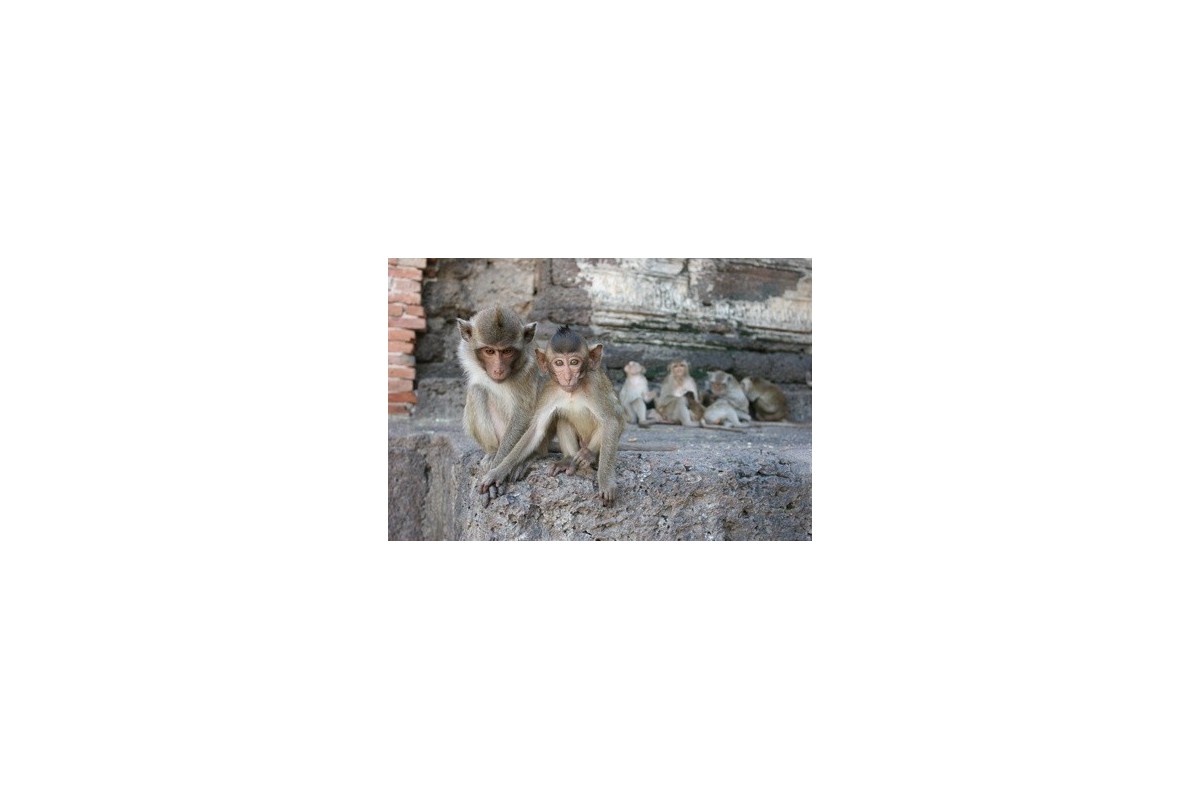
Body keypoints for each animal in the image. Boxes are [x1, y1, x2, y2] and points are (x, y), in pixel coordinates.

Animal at [456, 306, 540, 504]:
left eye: (507, 351)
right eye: (489, 351)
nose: (499, 369)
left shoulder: (527, 369)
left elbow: (524, 413)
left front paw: (497, 472)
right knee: (477, 390)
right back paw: (493, 451)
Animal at [480, 326, 626, 506]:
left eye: (574, 362)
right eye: (559, 363)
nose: (568, 376)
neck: (572, 391)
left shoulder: (595, 386)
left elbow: (611, 422)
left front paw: (606, 482)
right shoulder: (549, 391)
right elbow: (536, 430)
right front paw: (498, 472)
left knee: (608, 424)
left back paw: (589, 455)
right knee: (562, 420)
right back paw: (569, 460)